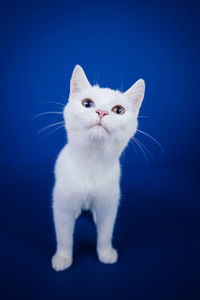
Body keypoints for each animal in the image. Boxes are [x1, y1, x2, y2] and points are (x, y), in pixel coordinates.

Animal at [51, 65, 145, 272]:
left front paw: (105, 254)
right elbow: (64, 236)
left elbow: (105, 234)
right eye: (87, 103)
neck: (91, 163)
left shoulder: (109, 205)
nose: (101, 112)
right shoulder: (62, 205)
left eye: (118, 110)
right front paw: (62, 258)